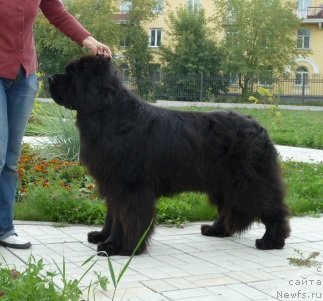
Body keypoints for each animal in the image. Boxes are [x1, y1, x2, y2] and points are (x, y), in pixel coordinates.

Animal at [48, 55, 292, 254]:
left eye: (71, 73)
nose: (49, 77)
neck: (109, 114)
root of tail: (260, 128)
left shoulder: (127, 185)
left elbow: (125, 218)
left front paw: (118, 247)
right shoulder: (111, 182)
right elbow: (113, 215)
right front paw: (102, 236)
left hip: (249, 181)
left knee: (273, 208)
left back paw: (271, 241)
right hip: (223, 183)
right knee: (228, 207)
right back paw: (216, 230)